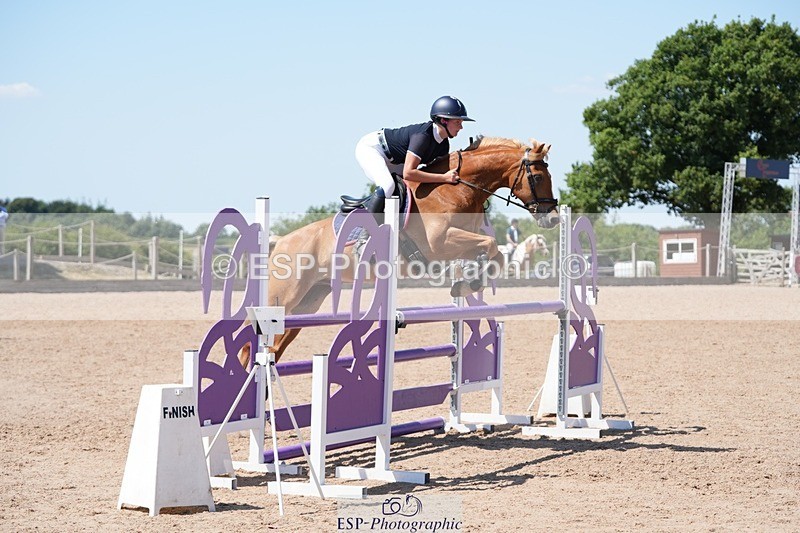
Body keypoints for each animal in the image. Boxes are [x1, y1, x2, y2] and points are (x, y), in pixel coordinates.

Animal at [243, 137, 558, 366]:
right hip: (283, 295)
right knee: (249, 343)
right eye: (538, 177)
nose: (553, 218)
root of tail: (282, 241)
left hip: (307, 303)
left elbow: (495, 254)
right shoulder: (440, 243)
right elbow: (491, 246)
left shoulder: (463, 241)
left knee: (275, 346)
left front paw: (468, 282)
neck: (454, 190)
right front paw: (470, 281)